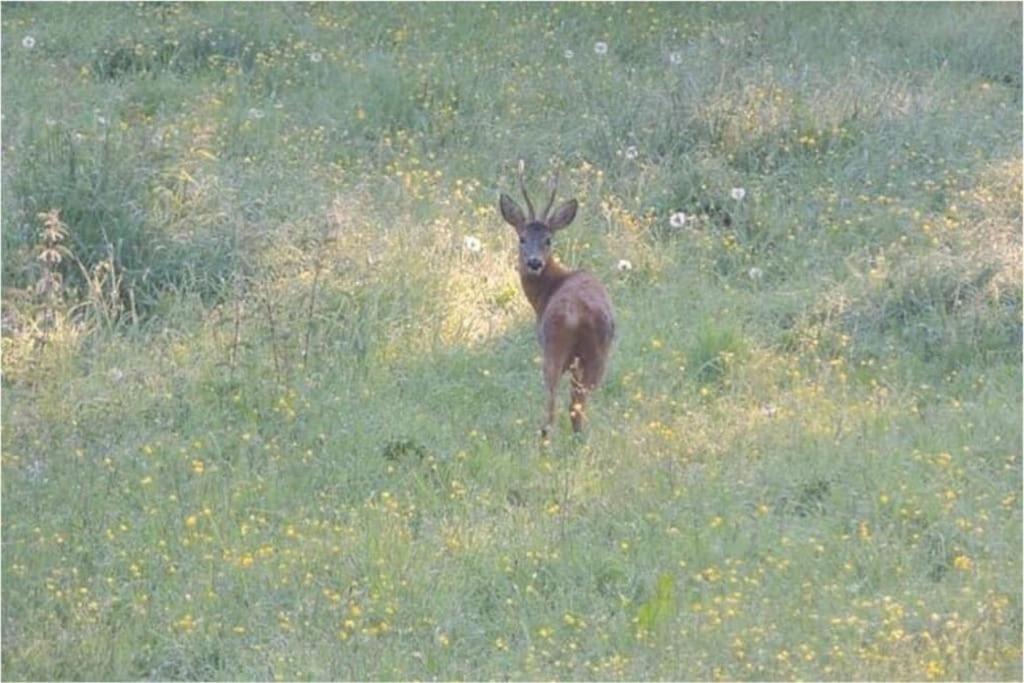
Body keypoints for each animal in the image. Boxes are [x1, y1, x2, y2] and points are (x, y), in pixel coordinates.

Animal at [497, 169, 610, 438]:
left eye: (548, 240)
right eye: (522, 238)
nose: (534, 262)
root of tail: (580, 314)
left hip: (553, 348)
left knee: (553, 405)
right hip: (598, 355)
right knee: (577, 405)